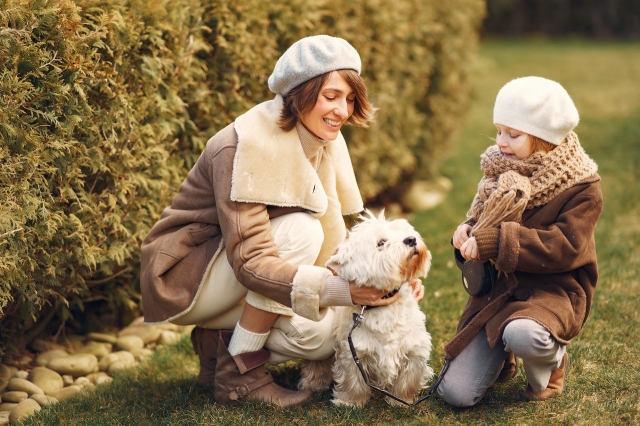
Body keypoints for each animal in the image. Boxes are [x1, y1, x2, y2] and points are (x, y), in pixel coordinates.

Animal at [300, 210, 436, 406]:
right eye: (381, 243)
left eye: (404, 232)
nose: (411, 239)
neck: (385, 307)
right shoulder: (353, 350)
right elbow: (354, 381)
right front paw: (351, 403)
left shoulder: (414, 349)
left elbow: (407, 380)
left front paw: (401, 401)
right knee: (316, 362)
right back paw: (312, 383)